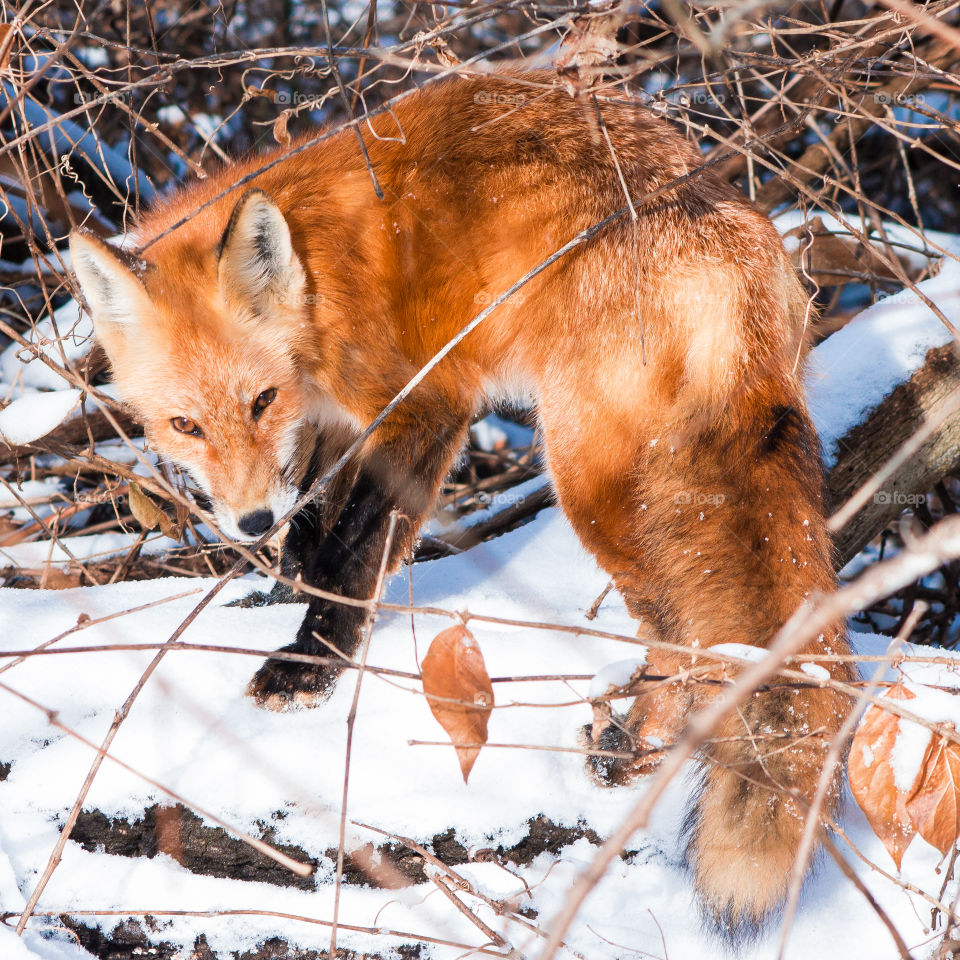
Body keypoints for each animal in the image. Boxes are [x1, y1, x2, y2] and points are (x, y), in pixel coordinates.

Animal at [68, 72, 854, 941]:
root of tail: (723, 232)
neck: (317, 285)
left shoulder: (425, 403)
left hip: (592, 483)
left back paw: (631, 751)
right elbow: (316, 521)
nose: (248, 526)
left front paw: (310, 666)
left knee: (678, 634)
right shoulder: (339, 421)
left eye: (261, 401)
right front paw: (285, 580)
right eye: (185, 426)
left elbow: (352, 551)